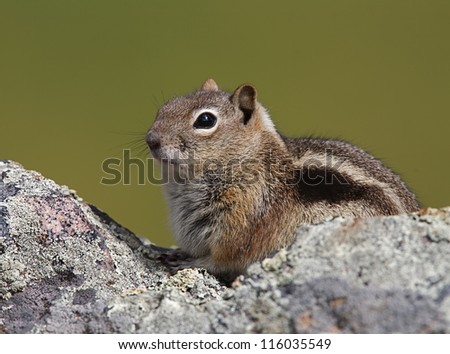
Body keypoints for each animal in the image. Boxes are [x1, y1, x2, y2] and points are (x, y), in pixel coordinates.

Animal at [146, 79, 420, 280]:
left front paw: (189, 261)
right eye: (165, 107)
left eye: (205, 120)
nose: (151, 139)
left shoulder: (245, 222)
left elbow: (221, 259)